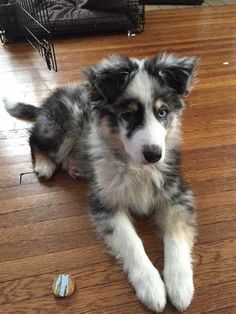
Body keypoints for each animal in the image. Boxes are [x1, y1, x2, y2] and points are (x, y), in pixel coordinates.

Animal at [4, 52, 198, 312]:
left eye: (163, 113)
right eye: (126, 115)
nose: (154, 154)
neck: (135, 166)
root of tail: (48, 103)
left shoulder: (177, 194)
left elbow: (176, 236)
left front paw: (180, 285)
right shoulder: (105, 202)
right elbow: (131, 242)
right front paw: (151, 286)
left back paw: (74, 166)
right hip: (67, 126)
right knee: (34, 137)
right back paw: (45, 164)